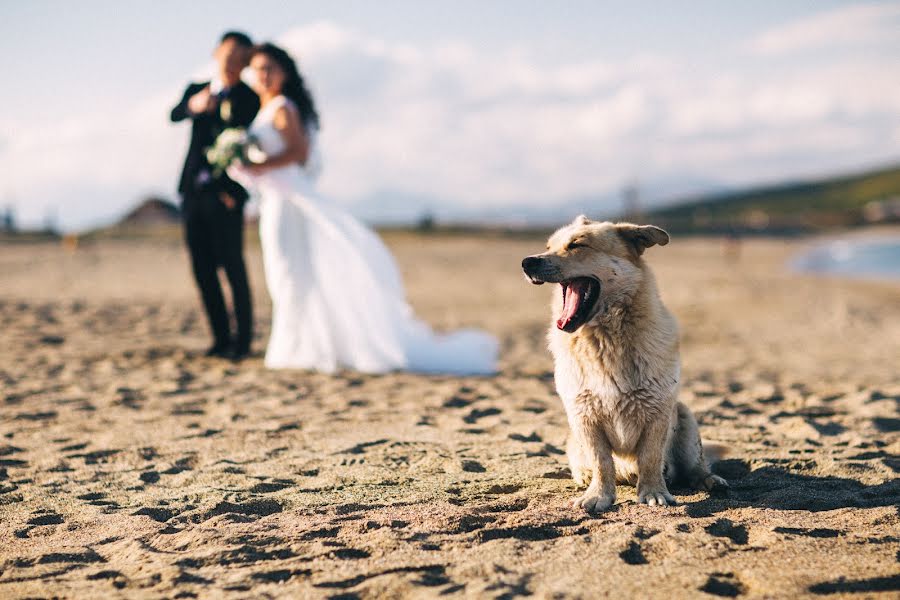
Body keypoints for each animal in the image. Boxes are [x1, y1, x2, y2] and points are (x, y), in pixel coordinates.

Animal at [524, 216, 728, 510]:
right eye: (548, 246)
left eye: (577, 245)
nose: (527, 262)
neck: (605, 339)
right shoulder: (584, 416)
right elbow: (602, 461)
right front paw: (599, 495)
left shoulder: (658, 411)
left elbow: (651, 458)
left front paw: (654, 491)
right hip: (573, 438)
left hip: (686, 418)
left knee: (696, 466)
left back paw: (709, 480)